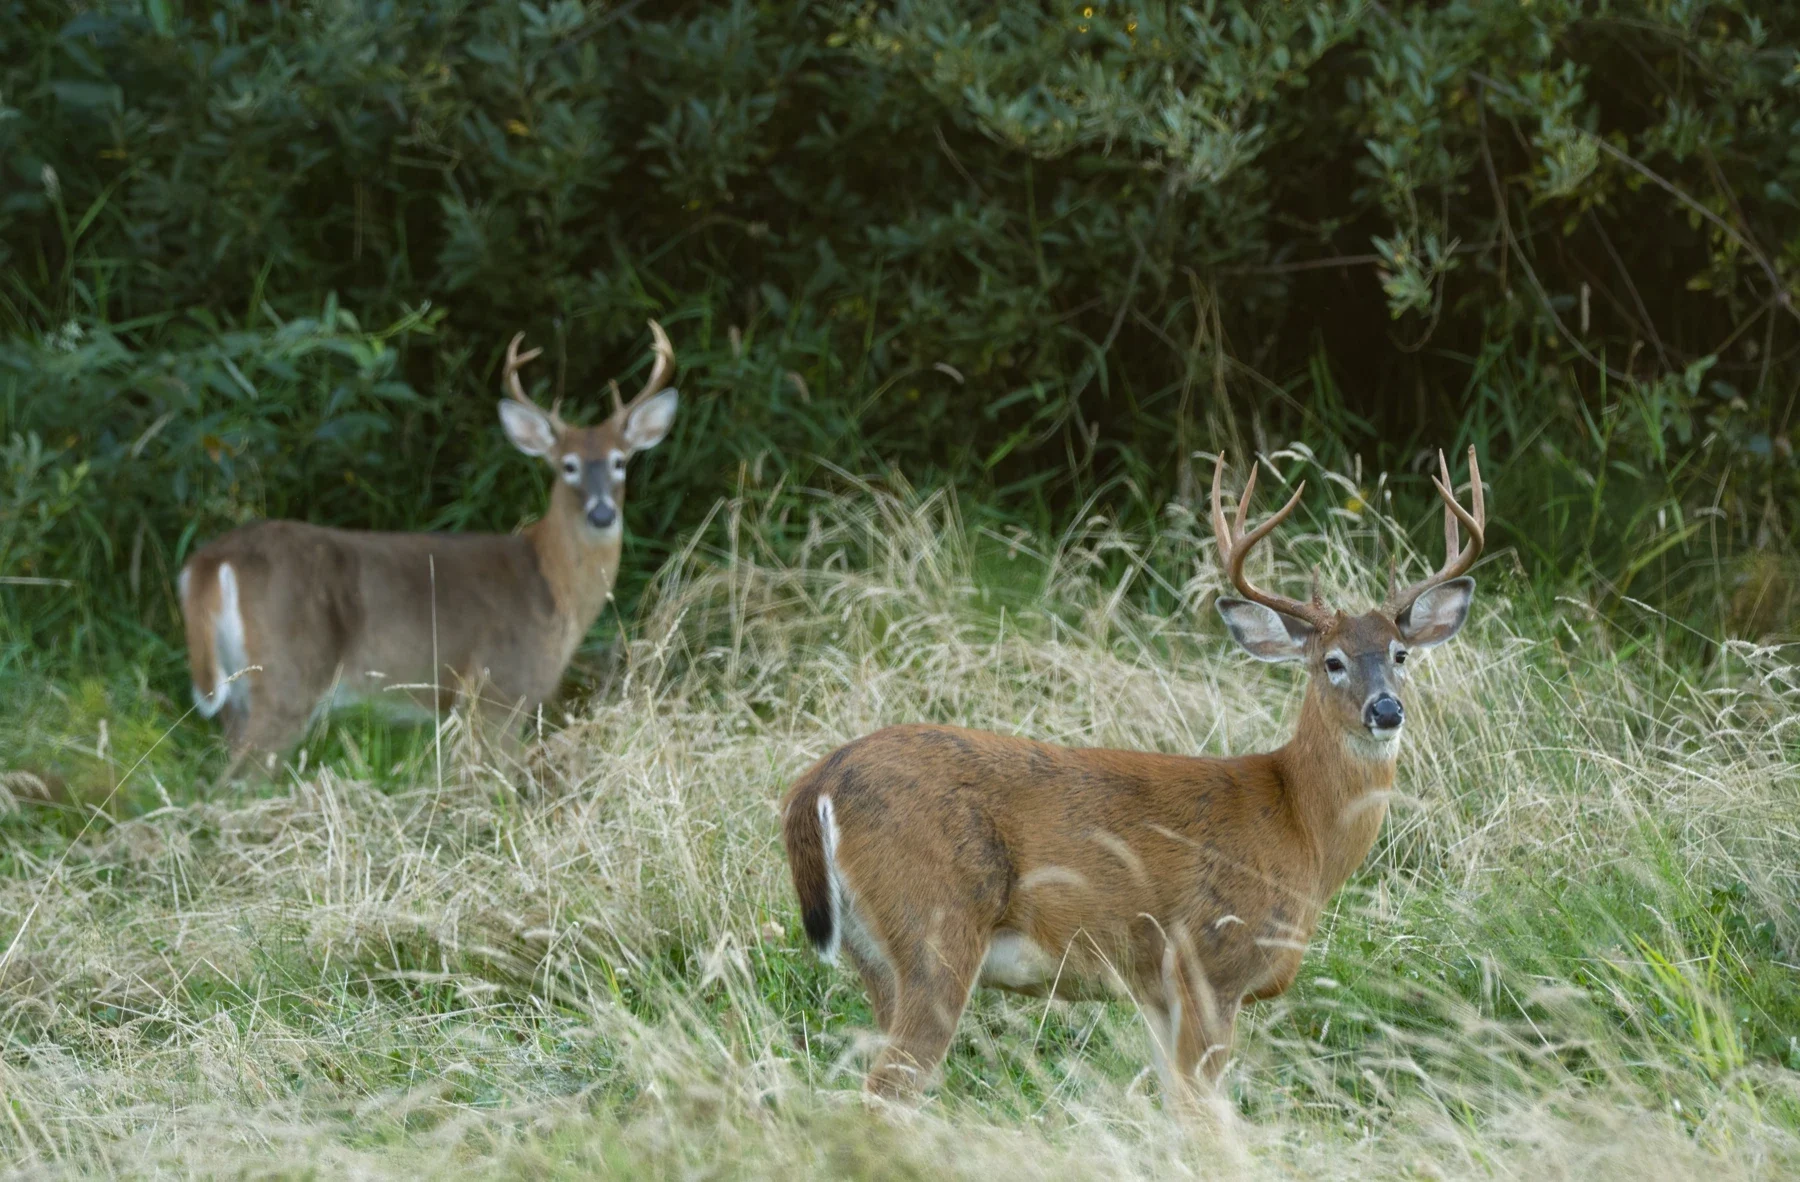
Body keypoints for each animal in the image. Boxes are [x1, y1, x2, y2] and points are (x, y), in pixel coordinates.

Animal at [177, 321, 681, 780]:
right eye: (568, 466)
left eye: (620, 461)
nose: (602, 514)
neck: (551, 582)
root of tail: (210, 562)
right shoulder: (503, 685)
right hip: (288, 673)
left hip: (239, 692)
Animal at [780, 448, 1485, 1106]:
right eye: (1332, 661)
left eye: (1400, 654)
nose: (1385, 709)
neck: (1298, 825)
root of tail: (818, 783)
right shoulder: (1209, 962)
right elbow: (1204, 1114)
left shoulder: (1154, 990)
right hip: (934, 929)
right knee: (886, 1090)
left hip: (875, 956)